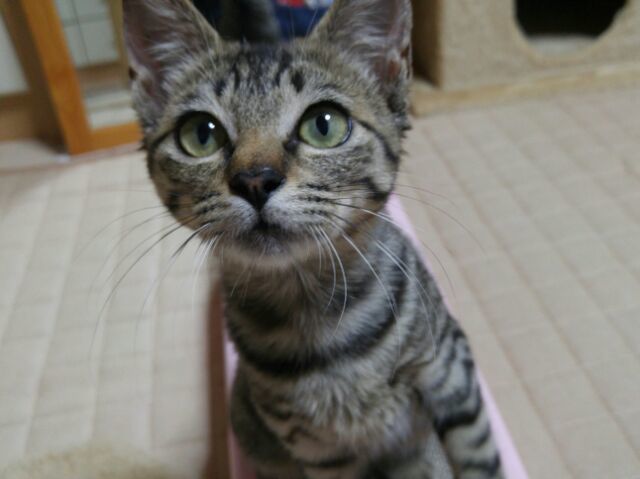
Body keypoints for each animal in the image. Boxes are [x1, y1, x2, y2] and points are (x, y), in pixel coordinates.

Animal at [122, 0, 503, 477]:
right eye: (201, 134)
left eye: (324, 125)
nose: (255, 179)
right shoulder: (319, 449)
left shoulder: (452, 373)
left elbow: (481, 458)